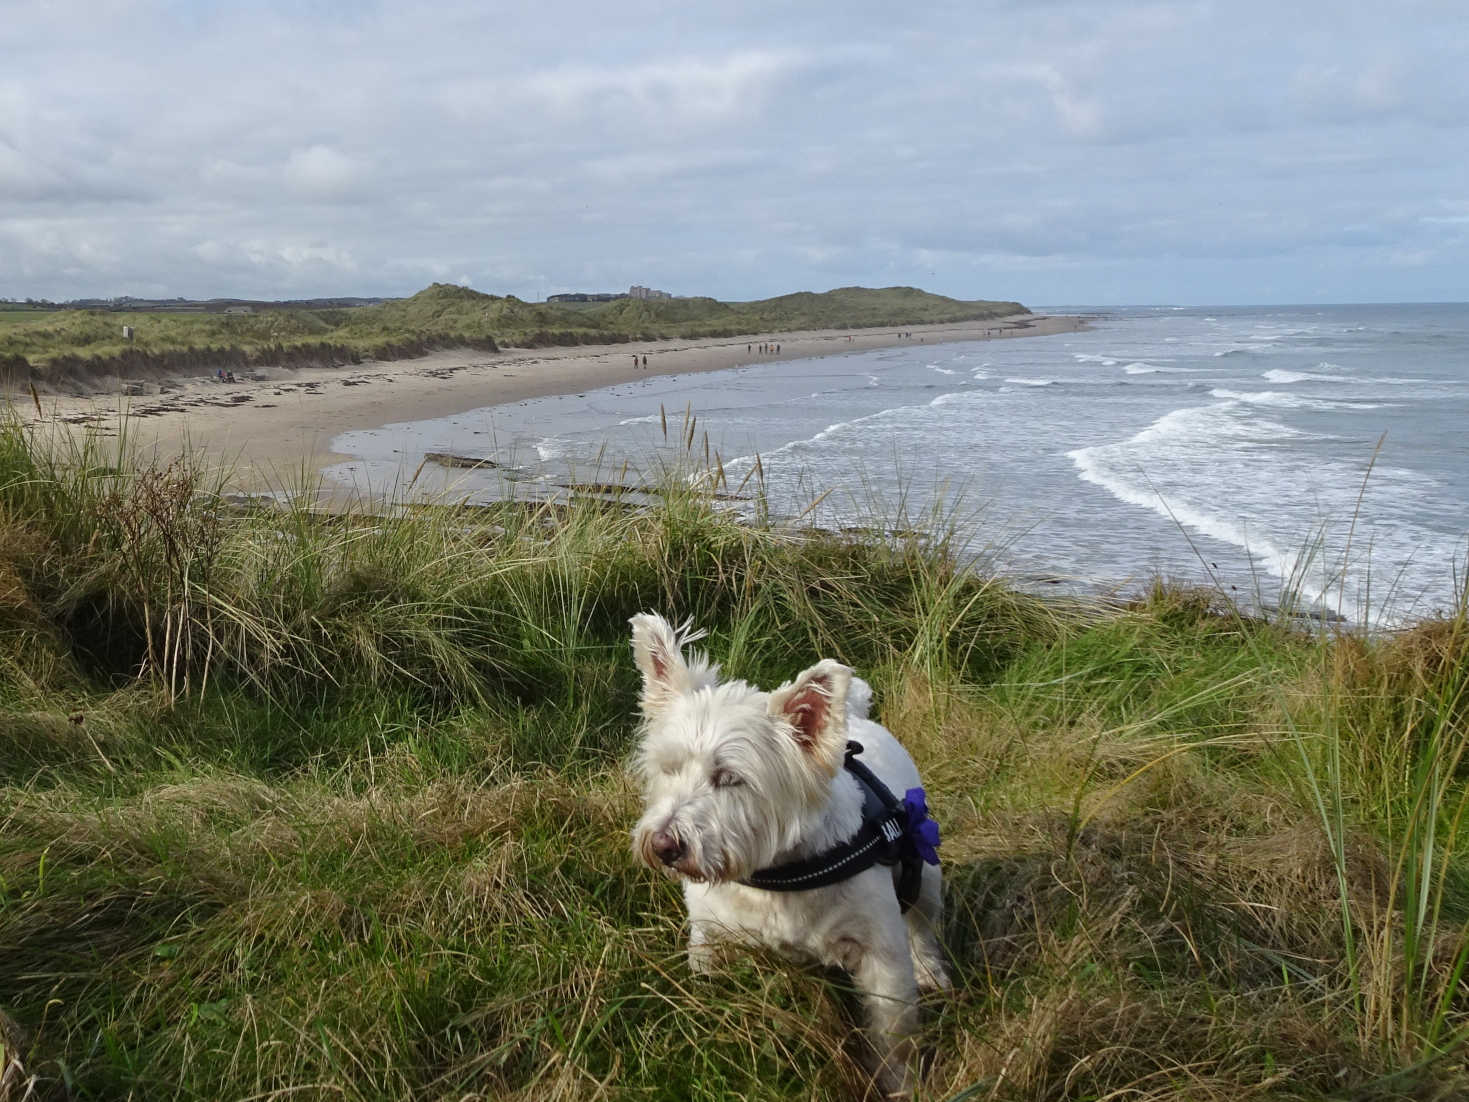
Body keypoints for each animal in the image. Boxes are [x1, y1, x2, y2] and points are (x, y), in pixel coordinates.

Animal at [625, 614, 946, 1099]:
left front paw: (900, 1084)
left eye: (730, 778)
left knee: (924, 923)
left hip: (924, 868)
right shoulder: (710, 934)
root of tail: (855, 717)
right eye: (669, 768)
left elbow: (894, 1033)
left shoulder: (880, 953)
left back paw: (931, 970)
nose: (664, 846)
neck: (776, 876)